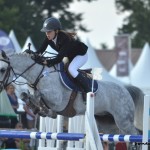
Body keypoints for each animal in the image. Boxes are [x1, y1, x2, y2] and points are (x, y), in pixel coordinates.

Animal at [0, 51, 144, 135]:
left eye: (2, 69)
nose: (0, 86)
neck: (40, 74)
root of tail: (125, 90)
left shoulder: (57, 100)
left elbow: (39, 95)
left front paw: (44, 110)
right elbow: (25, 96)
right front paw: (37, 108)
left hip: (123, 121)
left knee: (135, 134)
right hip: (108, 122)